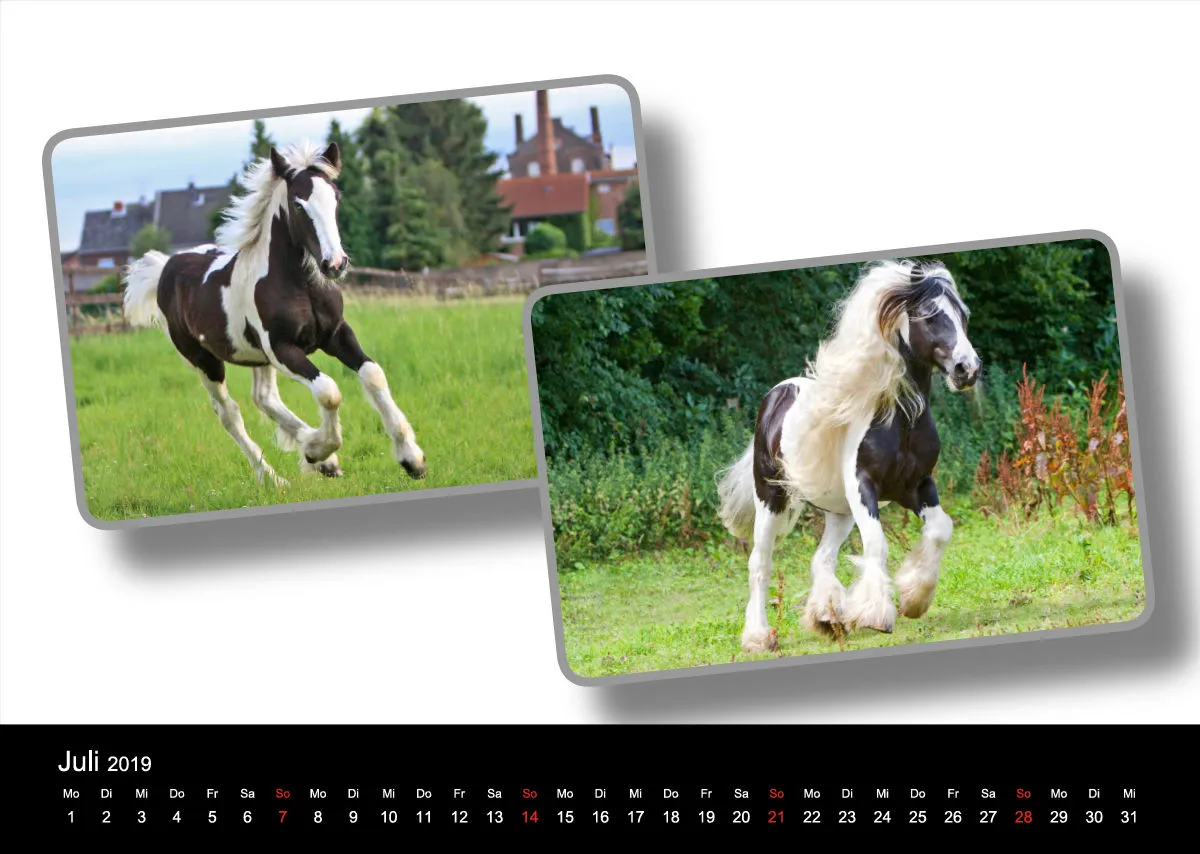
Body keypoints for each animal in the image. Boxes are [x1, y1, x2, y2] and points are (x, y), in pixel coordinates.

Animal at [122, 141, 426, 486]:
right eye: (298, 205)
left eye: (335, 197)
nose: (335, 264)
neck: (301, 284)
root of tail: (165, 267)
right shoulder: (282, 348)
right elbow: (328, 392)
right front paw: (317, 451)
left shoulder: (336, 334)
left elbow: (373, 374)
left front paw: (412, 460)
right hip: (204, 360)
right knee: (229, 413)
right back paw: (274, 478)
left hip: (258, 358)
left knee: (264, 397)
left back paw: (322, 459)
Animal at [717, 260, 980, 653]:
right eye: (930, 316)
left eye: (963, 315)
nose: (968, 369)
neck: (900, 421)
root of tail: (778, 394)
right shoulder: (863, 487)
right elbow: (876, 543)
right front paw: (876, 615)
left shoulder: (917, 486)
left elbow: (939, 530)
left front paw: (913, 599)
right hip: (771, 498)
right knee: (759, 565)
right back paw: (759, 637)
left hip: (838, 512)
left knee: (821, 558)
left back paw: (828, 617)